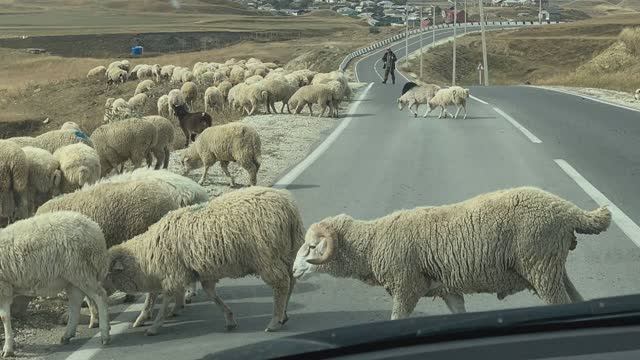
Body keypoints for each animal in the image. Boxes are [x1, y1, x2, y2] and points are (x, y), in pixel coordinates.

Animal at [0, 211, 110, 354]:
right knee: (76, 302)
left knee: (100, 296)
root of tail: (95, 228)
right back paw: (67, 335)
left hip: (81, 271)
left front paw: (8, 348)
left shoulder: (3, 286)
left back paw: (105, 335)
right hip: (72, 277)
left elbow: (4, 317)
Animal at [104, 186, 304, 334]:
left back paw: (275, 321)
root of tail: (288, 206)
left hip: (268, 256)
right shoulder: (201, 272)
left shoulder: (173, 273)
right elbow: (211, 294)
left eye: (106, 273)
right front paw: (229, 318)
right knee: (291, 280)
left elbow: (167, 298)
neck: (146, 255)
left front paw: (155, 325)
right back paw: (284, 315)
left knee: (281, 284)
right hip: (290, 251)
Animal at [292, 187, 612, 320]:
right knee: (576, 298)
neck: (373, 242)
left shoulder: (407, 287)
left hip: (541, 267)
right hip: (553, 266)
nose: (293, 271)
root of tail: (568, 210)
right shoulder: (447, 290)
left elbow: (397, 318)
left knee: (560, 301)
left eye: (312, 246)